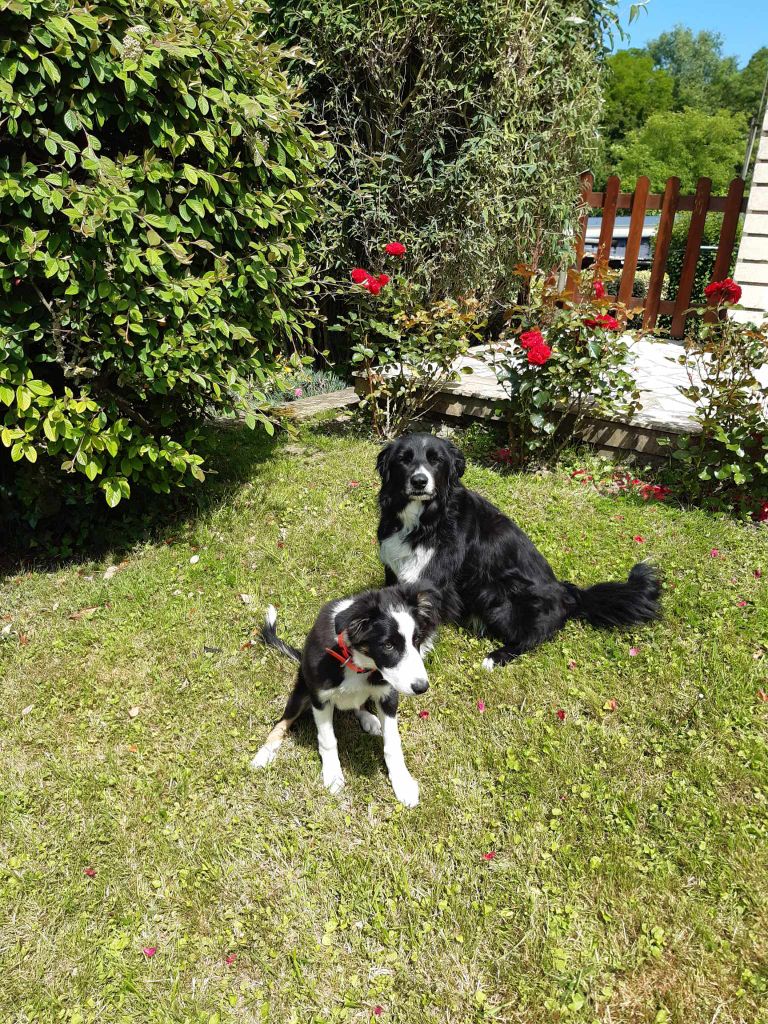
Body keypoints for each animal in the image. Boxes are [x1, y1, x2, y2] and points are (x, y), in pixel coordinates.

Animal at [249, 585, 436, 806]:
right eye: (388, 645)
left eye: (416, 640)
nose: (422, 687)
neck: (357, 661)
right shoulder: (320, 699)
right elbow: (328, 740)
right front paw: (333, 775)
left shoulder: (388, 695)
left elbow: (393, 743)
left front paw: (403, 783)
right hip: (302, 691)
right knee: (282, 722)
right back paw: (264, 754)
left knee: (359, 704)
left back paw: (369, 719)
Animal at [376, 432, 663, 671]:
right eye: (404, 459)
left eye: (436, 460)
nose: (419, 481)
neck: (424, 518)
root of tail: (569, 594)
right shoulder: (394, 566)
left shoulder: (434, 578)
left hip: (497, 594)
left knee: (531, 637)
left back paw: (495, 657)